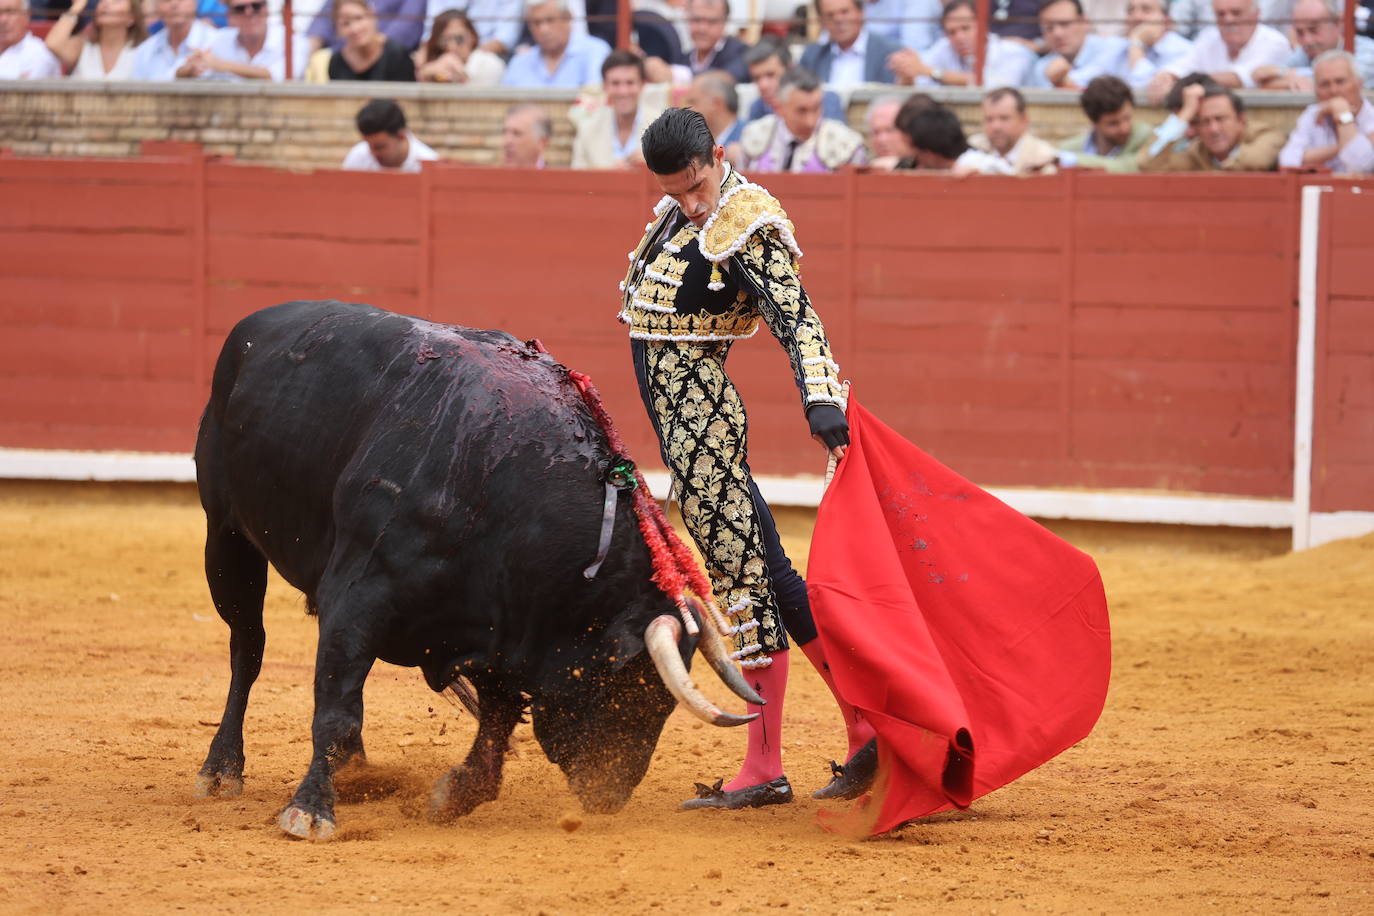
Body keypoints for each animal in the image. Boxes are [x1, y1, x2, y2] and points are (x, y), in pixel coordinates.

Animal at [192, 300, 747, 840]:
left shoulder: (500, 631)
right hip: (225, 538)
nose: (611, 796)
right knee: (248, 649)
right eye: (634, 691)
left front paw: (451, 797)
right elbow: (336, 707)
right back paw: (221, 770)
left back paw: (356, 775)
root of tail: (258, 322)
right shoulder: (357, 596)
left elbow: (496, 724)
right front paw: (309, 811)